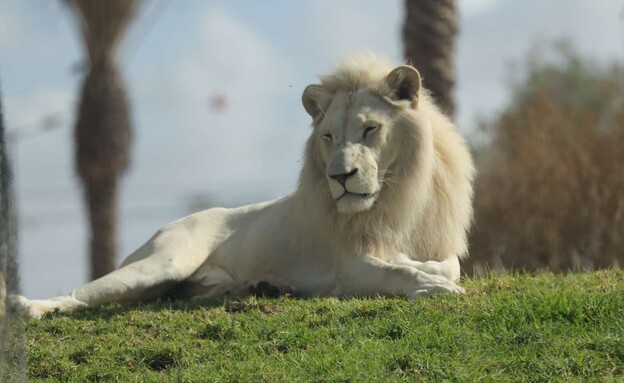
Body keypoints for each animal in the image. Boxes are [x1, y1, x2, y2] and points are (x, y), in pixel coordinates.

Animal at [6, 52, 472, 320]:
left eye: (370, 129)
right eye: (328, 137)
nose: (339, 177)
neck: (398, 194)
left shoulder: (435, 241)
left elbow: (447, 263)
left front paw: (430, 271)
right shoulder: (350, 266)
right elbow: (397, 272)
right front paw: (432, 286)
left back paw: (263, 287)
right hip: (162, 262)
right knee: (81, 295)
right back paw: (28, 307)